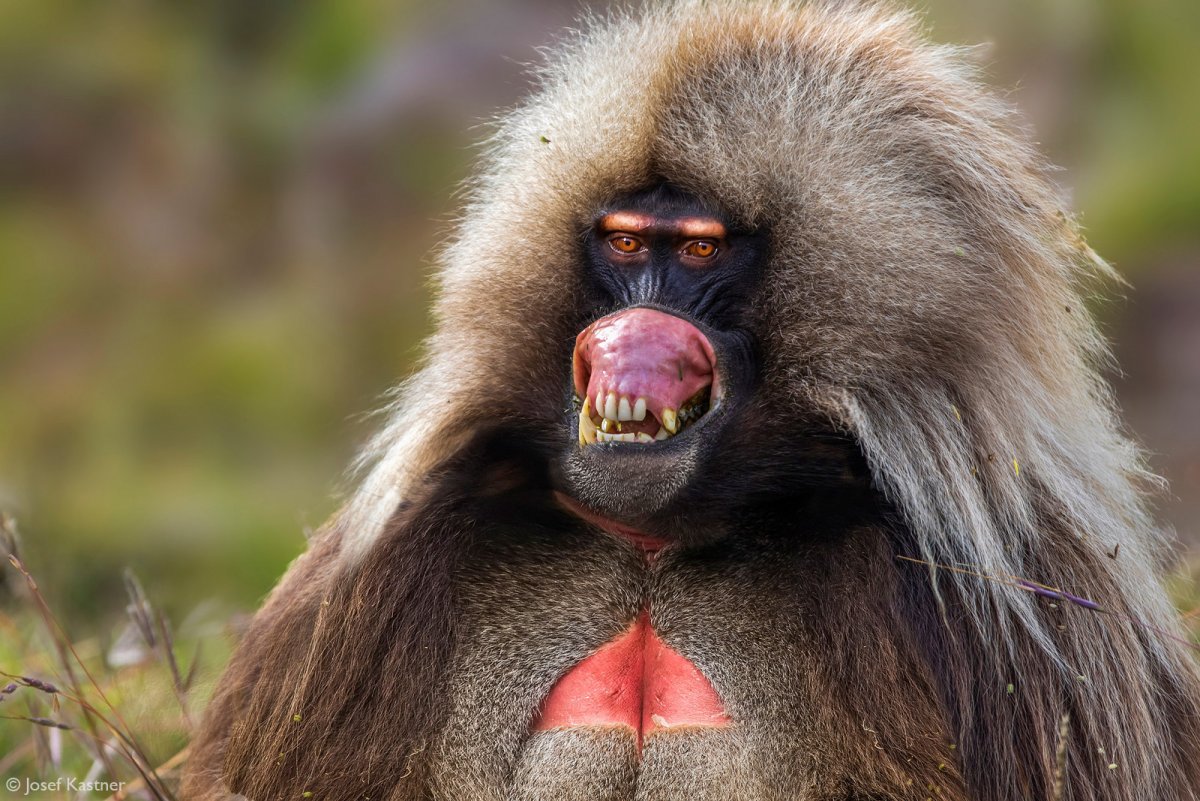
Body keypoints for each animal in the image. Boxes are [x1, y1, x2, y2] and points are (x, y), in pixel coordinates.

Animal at [183, 2, 1200, 800]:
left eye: (703, 250)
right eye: (628, 243)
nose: (632, 331)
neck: (656, 540)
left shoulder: (1012, 600)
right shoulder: (375, 572)